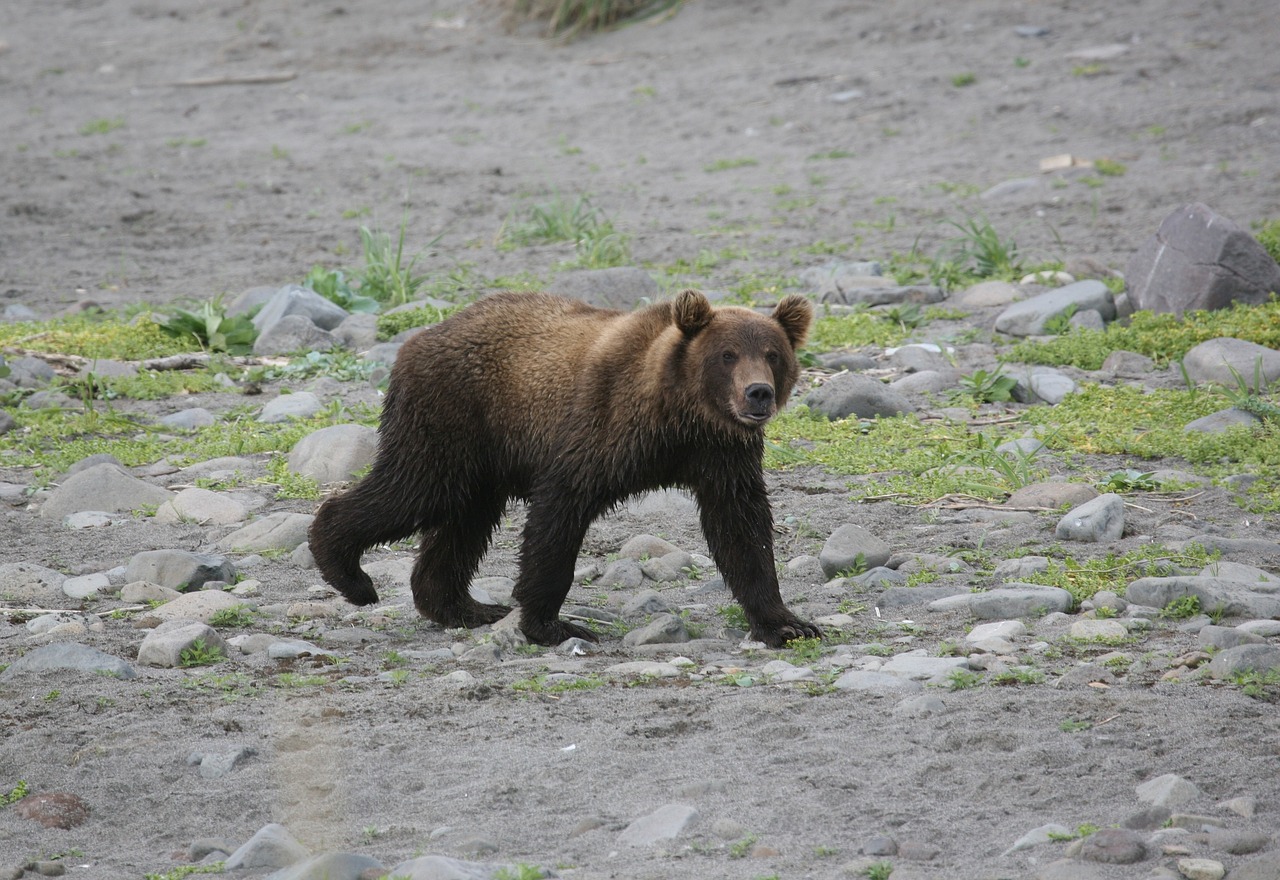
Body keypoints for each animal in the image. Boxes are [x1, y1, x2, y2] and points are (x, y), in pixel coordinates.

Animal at [314, 289, 824, 647]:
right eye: (727, 354)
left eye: (772, 354)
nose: (758, 393)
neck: (676, 415)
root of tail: (419, 337)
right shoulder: (602, 428)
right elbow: (559, 515)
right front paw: (553, 624)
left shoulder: (721, 454)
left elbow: (742, 528)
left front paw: (787, 624)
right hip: (454, 416)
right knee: (414, 489)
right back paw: (348, 572)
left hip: (484, 457)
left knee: (464, 520)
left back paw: (465, 607)